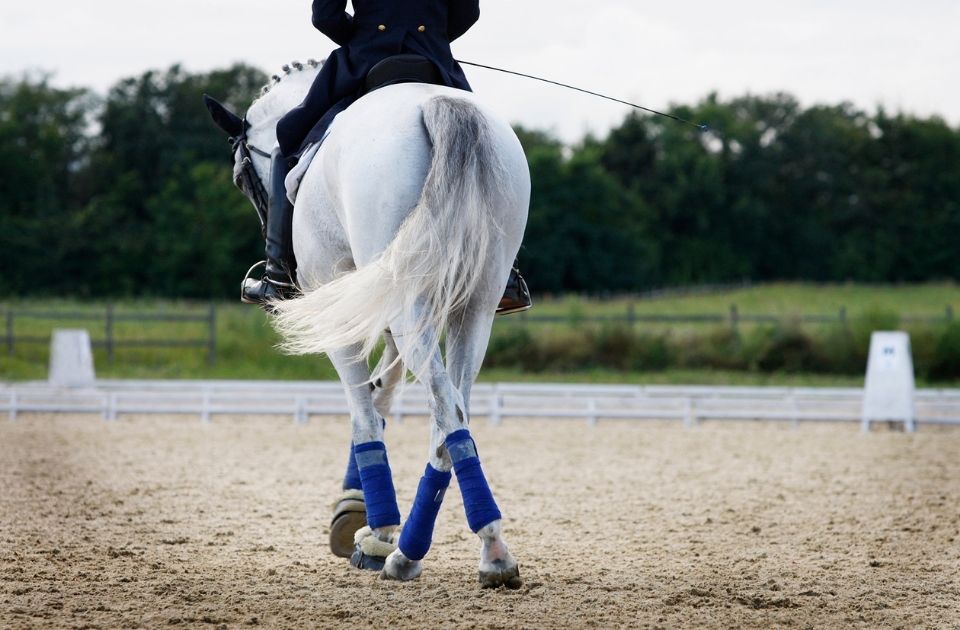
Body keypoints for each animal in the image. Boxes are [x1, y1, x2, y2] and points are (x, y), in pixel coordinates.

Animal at [204, 61, 530, 588]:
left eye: (240, 178)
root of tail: (438, 105)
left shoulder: (343, 308)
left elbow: (363, 412)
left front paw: (371, 527)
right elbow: (384, 390)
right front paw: (362, 516)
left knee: (445, 409)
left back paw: (462, 551)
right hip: (474, 308)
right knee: (452, 414)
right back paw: (434, 552)